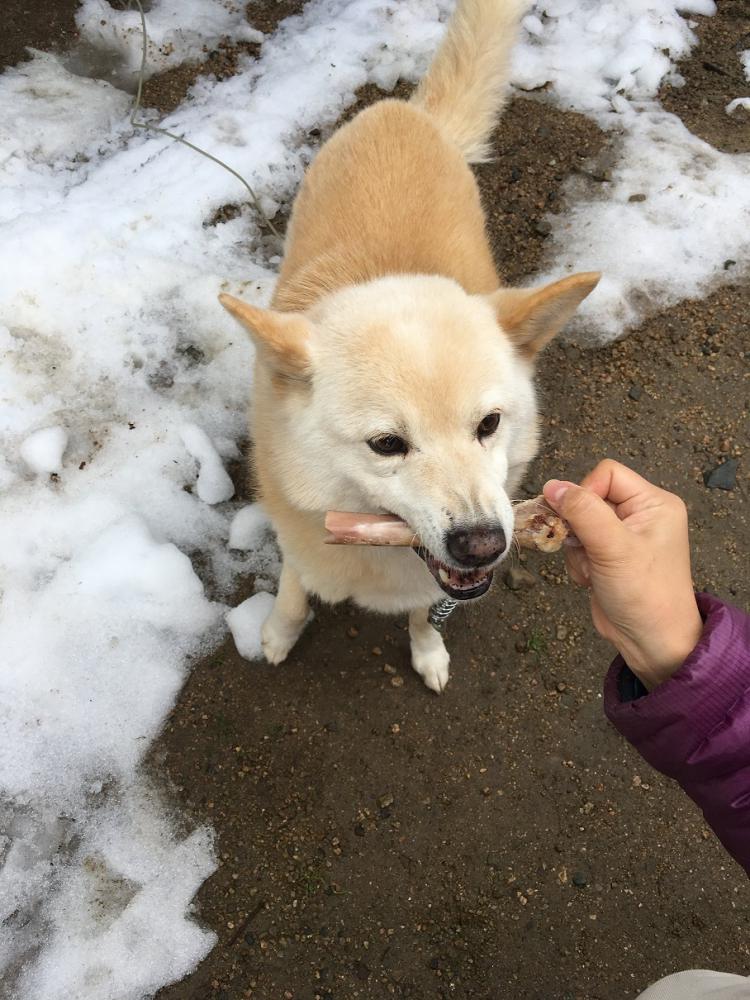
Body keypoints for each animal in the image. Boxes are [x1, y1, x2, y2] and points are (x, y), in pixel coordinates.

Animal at [220, 0, 604, 692]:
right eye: (386, 445)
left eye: (489, 424)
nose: (483, 546)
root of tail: (411, 112)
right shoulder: (297, 535)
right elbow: (293, 584)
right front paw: (280, 631)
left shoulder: (437, 582)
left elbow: (427, 611)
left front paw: (428, 649)